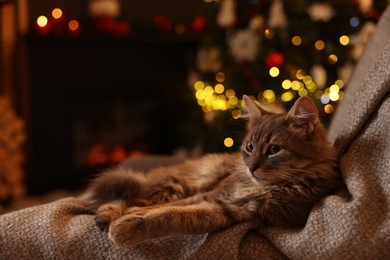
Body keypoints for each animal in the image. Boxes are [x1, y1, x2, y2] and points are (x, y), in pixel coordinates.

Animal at [80, 94, 342, 247]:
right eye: (250, 147)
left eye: (274, 149)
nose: (251, 167)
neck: (257, 187)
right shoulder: (214, 193)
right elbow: (166, 208)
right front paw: (128, 216)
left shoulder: (236, 210)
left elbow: (172, 215)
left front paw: (128, 225)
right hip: (183, 183)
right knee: (128, 195)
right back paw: (106, 214)